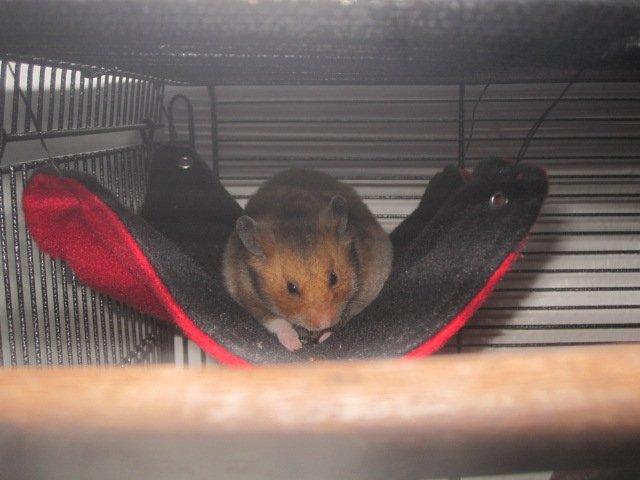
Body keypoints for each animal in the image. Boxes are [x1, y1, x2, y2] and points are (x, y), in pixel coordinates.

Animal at [223, 168, 393, 351]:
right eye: (291, 288)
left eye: (334, 278)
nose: (324, 323)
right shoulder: (245, 291)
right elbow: (276, 321)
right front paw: (295, 346)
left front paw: (324, 335)